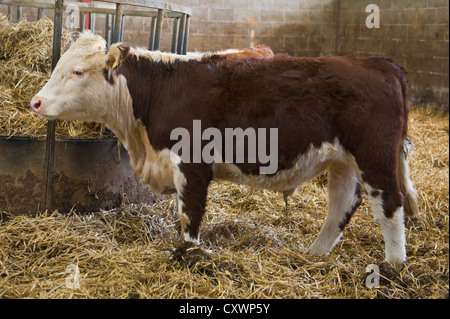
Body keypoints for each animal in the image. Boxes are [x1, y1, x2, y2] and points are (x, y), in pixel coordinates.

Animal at [30, 33, 418, 268]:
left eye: (77, 71)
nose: (36, 102)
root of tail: (378, 63)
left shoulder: (192, 165)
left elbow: (190, 215)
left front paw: (188, 255)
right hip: (343, 161)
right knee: (342, 205)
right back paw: (313, 255)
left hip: (374, 156)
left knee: (390, 204)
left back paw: (393, 266)